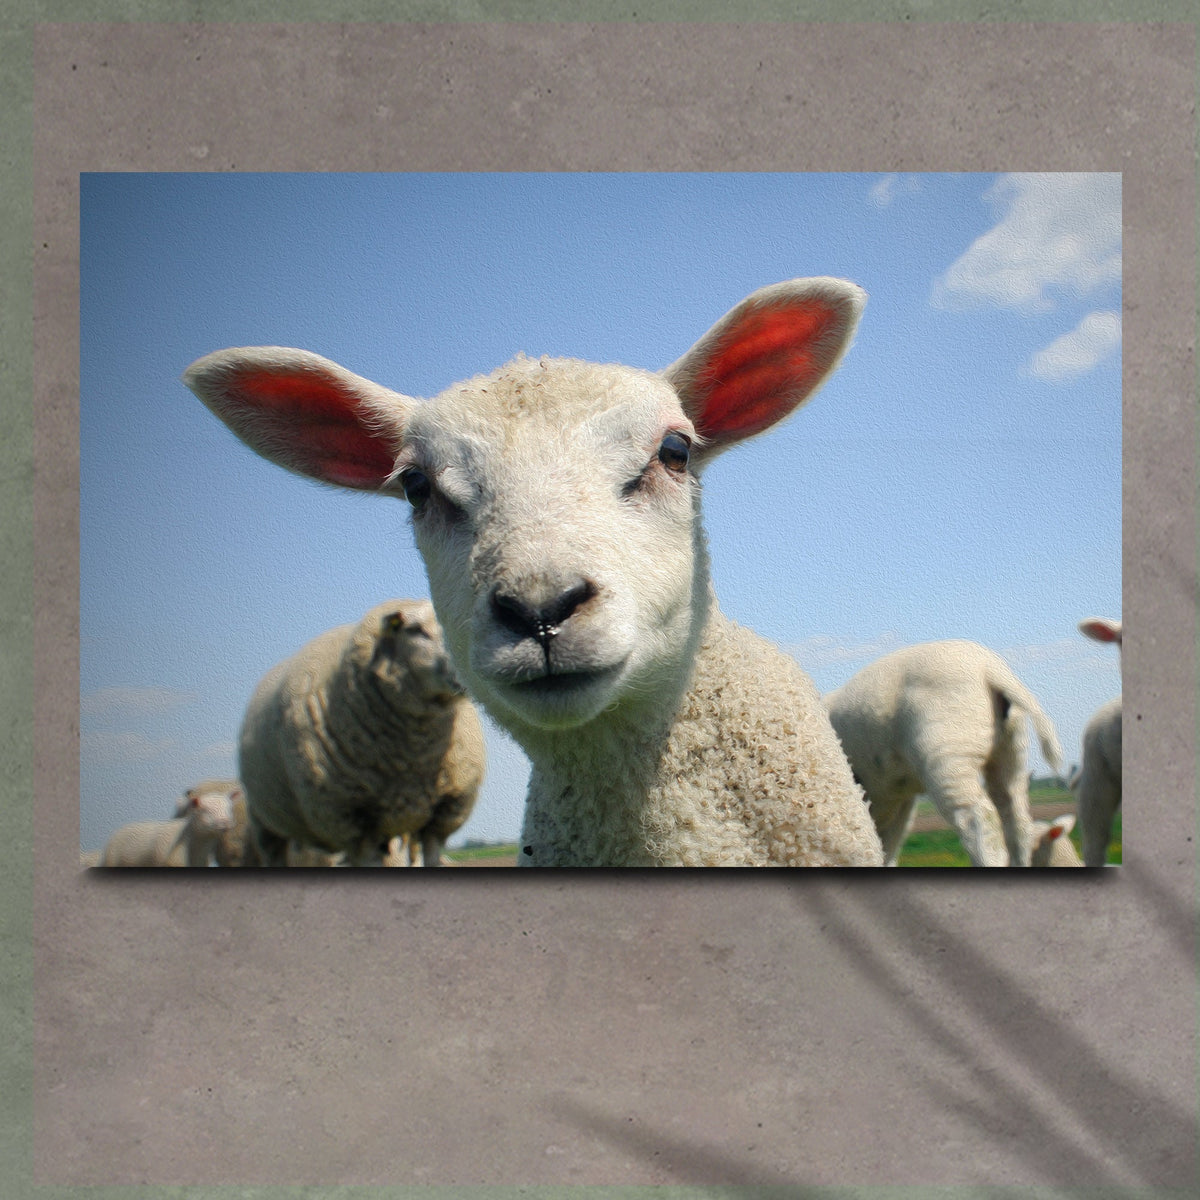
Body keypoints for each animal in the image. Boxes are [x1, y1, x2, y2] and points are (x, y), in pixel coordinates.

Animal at [231, 599, 485, 867]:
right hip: (263, 820)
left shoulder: (443, 813)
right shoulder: (354, 820)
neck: (412, 758)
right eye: (415, 630)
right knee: (274, 854)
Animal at [824, 640, 1063, 867]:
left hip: (947, 751)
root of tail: (990, 668)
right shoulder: (896, 801)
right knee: (1016, 820)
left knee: (979, 819)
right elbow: (886, 848)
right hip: (1010, 750)